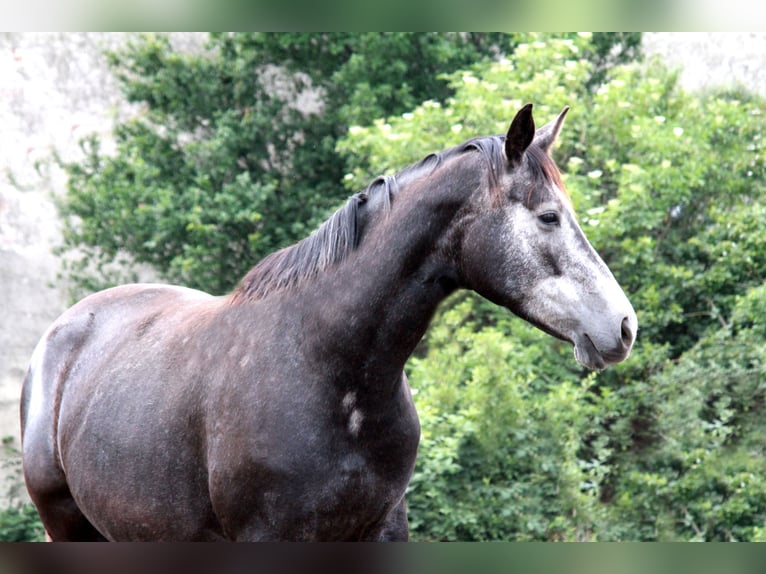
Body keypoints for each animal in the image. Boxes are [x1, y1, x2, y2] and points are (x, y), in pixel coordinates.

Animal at [21, 104, 640, 544]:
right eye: (549, 216)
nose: (624, 326)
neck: (330, 367)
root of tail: (62, 333)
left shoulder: (383, 528)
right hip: (68, 527)